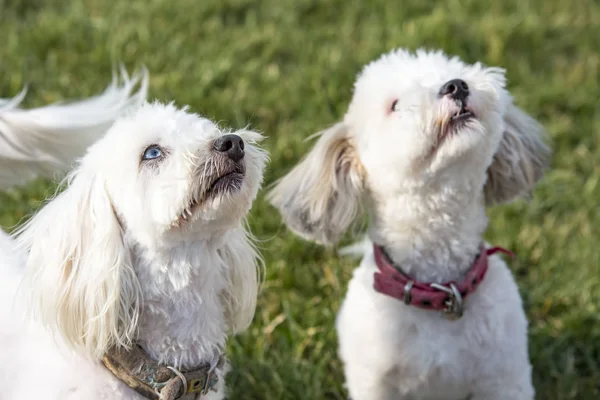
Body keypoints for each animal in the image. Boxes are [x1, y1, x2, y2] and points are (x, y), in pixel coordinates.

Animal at [270, 50, 552, 400]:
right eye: (394, 105)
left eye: (455, 72)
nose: (456, 86)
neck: (438, 291)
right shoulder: (375, 383)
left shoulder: (505, 377)